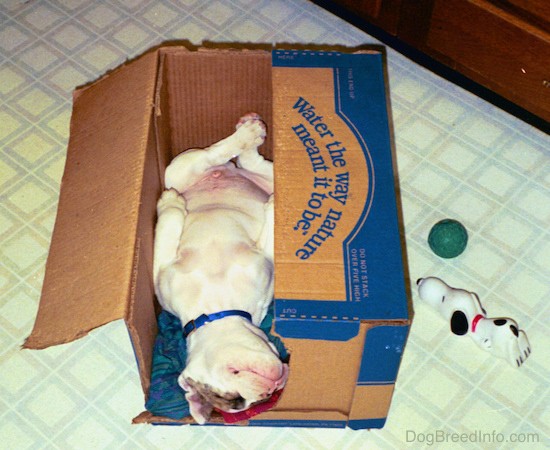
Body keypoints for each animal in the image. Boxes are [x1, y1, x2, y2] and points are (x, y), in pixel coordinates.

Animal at [152, 114, 288, 424]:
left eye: (235, 372)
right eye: (240, 402)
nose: (272, 386)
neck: (214, 307)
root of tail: (226, 172)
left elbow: (166, 226)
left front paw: (169, 203)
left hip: (177, 170)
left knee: (212, 155)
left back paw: (248, 132)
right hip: (192, 171)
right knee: (249, 162)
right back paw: (250, 135)